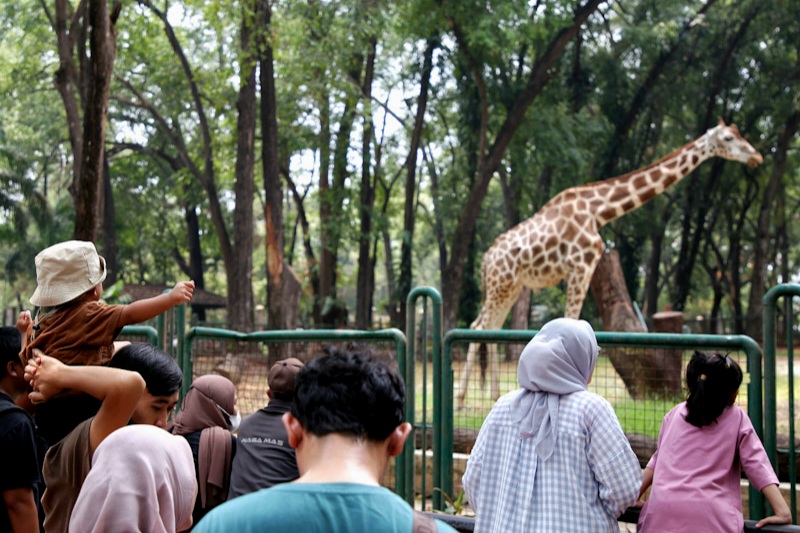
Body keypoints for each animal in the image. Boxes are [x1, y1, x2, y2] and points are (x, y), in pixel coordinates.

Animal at [456, 118, 764, 408]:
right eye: (728, 138)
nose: (757, 156)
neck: (599, 211)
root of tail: (486, 259)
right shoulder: (580, 266)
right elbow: (573, 325)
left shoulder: (583, 268)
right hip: (501, 284)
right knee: (478, 326)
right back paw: (460, 399)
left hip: (511, 287)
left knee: (489, 327)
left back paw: (493, 395)